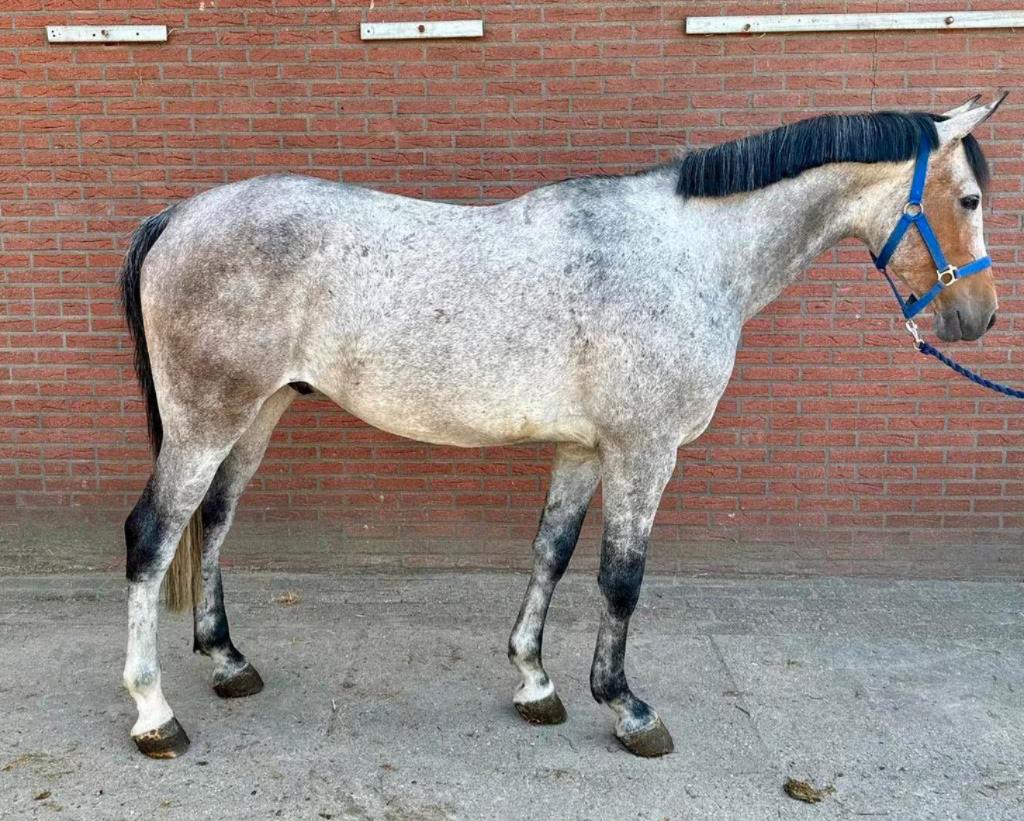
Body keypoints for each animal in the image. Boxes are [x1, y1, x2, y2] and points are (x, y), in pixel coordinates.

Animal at [119, 95, 1004, 759]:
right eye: (969, 199)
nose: (978, 317)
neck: (688, 253)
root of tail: (178, 214)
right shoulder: (644, 450)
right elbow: (621, 578)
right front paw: (627, 707)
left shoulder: (582, 449)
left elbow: (551, 551)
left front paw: (535, 683)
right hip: (207, 420)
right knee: (152, 536)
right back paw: (154, 713)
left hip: (257, 412)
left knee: (214, 520)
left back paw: (229, 661)